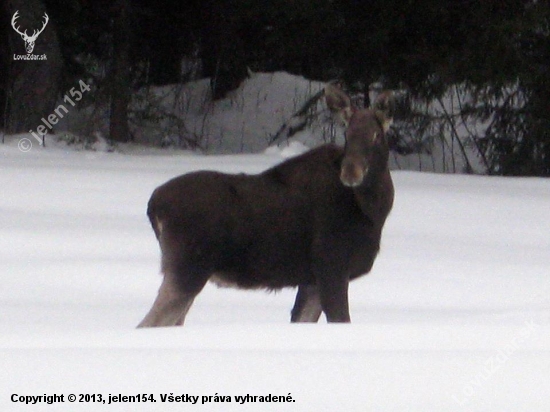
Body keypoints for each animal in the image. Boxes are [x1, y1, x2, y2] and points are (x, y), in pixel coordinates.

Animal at [138, 85, 396, 326]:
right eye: (347, 133)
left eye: (376, 135)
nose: (350, 172)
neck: (373, 212)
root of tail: (154, 205)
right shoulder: (331, 267)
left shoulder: (311, 280)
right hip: (188, 269)